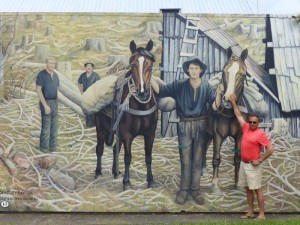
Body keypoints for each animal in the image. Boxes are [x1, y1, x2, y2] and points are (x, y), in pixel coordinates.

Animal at [95, 39, 158, 191]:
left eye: (150, 65)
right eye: (132, 65)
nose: (142, 93)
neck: (141, 105)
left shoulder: (150, 133)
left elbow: (148, 156)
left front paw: (151, 180)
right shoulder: (127, 134)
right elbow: (128, 157)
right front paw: (127, 182)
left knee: (115, 149)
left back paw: (115, 172)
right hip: (101, 129)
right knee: (99, 149)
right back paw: (98, 172)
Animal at [207, 47, 247, 193]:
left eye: (243, 74)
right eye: (224, 72)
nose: (228, 101)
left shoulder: (240, 136)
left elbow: (237, 158)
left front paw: (237, 184)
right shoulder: (217, 136)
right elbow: (216, 158)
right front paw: (215, 185)